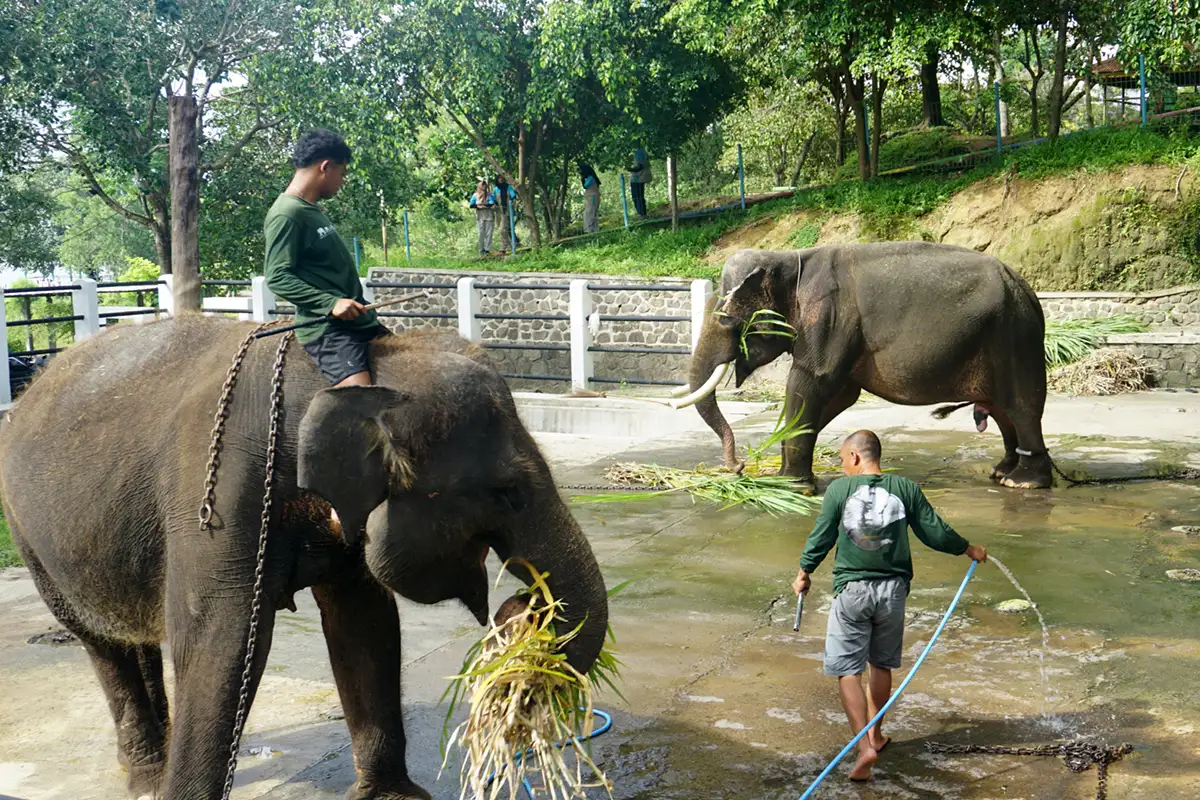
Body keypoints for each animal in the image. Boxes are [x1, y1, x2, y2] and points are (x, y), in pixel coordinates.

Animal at [0, 319, 604, 800]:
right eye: (508, 493)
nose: (522, 609)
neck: (356, 367)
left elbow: (364, 622)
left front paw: (392, 797)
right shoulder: (218, 496)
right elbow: (222, 642)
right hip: (28, 534)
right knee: (100, 643)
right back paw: (148, 778)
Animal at [676, 242, 1051, 494]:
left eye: (725, 319)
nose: (738, 467)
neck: (787, 258)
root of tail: (1028, 290)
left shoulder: (828, 319)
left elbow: (808, 384)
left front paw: (792, 486)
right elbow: (840, 395)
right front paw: (790, 476)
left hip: (1014, 338)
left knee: (1022, 406)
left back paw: (1023, 483)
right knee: (1002, 409)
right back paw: (1001, 473)